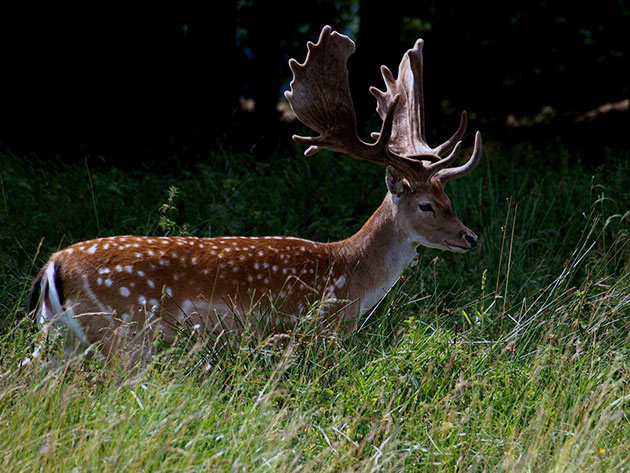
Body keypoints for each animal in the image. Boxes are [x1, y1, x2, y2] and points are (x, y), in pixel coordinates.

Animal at [25, 24, 484, 366]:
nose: (470, 237)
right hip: (124, 330)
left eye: (450, 200)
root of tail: (54, 266)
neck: (349, 277)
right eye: (426, 205)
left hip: (62, 338)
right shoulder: (311, 329)